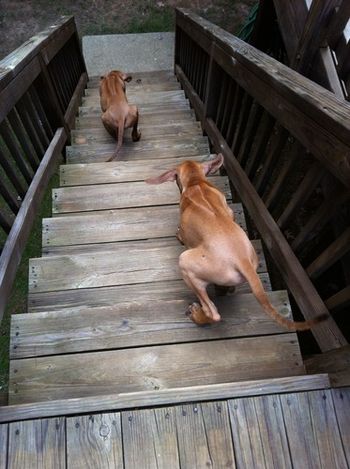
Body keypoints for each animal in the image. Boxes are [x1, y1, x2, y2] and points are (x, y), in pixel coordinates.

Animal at [146, 154, 328, 330]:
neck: (195, 182)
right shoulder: (230, 211)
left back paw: (197, 315)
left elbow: (182, 234)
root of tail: (243, 261)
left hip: (185, 263)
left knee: (213, 312)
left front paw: (178, 235)